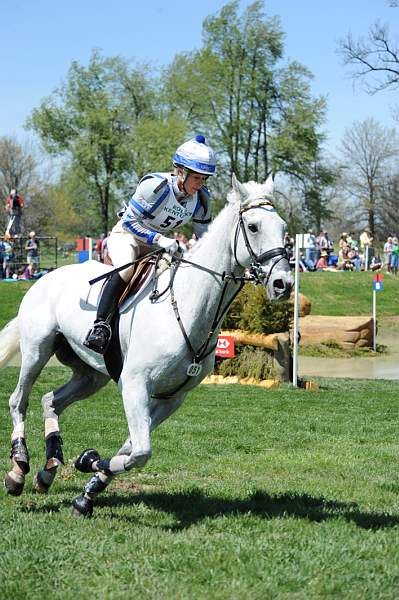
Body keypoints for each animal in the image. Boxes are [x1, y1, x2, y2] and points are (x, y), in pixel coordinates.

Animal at [0, 175, 294, 516]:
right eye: (254, 226)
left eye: (284, 228)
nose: (283, 285)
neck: (187, 307)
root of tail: (45, 277)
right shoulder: (134, 384)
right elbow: (140, 451)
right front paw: (88, 463)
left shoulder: (171, 397)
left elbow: (132, 447)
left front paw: (88, 487)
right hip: (38, 349)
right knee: (18, 401)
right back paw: (18, 469)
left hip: (91, 374)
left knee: (51, 400)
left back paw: (48, 469)